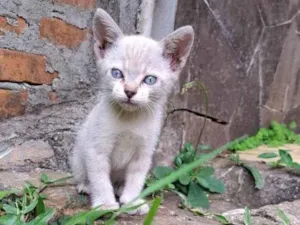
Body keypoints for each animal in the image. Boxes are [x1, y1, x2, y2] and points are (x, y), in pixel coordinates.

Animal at [71, 8, 195, 214]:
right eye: (117, 73)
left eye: (150, 80)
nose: (129, 91)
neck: (130, 118)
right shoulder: (97, 148)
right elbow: (99, 176)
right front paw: (105, 203)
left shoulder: (144, 152)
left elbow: (136, 178)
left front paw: (132, 201)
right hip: (79, 153)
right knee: (82, 173)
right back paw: (85, 185)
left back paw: (120, 188)